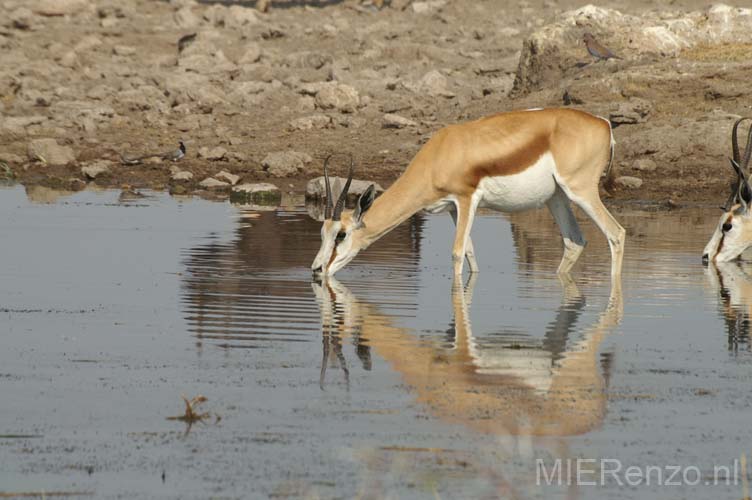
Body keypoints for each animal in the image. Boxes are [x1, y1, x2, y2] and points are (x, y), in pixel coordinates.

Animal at [308, 108, 624, 280]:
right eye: (321, 233)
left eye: (341, 235)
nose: (316, 269)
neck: (440, 155)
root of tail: (603, 123)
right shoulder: (451, 208)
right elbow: (471, 251)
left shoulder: (466, 199)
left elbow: (458, 252)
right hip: (556, 198)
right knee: (574, 241)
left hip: (581, 192)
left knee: (616, 233)